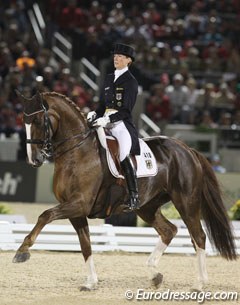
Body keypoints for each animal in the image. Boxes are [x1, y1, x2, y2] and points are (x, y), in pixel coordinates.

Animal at [14, 91, 237, 290]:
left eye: (37, 121)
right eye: (23, 122)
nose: (34, 159)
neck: (77, 151)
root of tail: (187, 149)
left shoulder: (79, 203)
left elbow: (45, 215)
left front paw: (22, 251)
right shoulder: (75, 210)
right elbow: (85, 246)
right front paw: (91, 282)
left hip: (186, 201)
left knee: (198, 236)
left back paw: (199, 284)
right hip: (147, 207)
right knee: (169, 230)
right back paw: (155, 274)